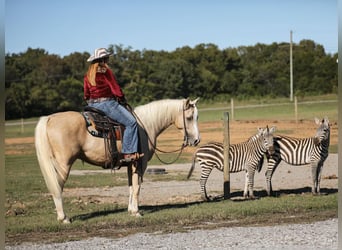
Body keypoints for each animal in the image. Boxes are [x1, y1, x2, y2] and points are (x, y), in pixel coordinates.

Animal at [34, 97, 200, 223]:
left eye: (196, 117)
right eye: (189, 118)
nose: (197, 140)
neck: (145, 126)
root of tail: (49, 118)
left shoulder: (130, 163)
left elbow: (131, 187)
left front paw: (130, 210)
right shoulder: (141, 163)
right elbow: (137, 187)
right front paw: (136, 212)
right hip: (63, 164)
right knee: (57, 187)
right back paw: (63, 218)